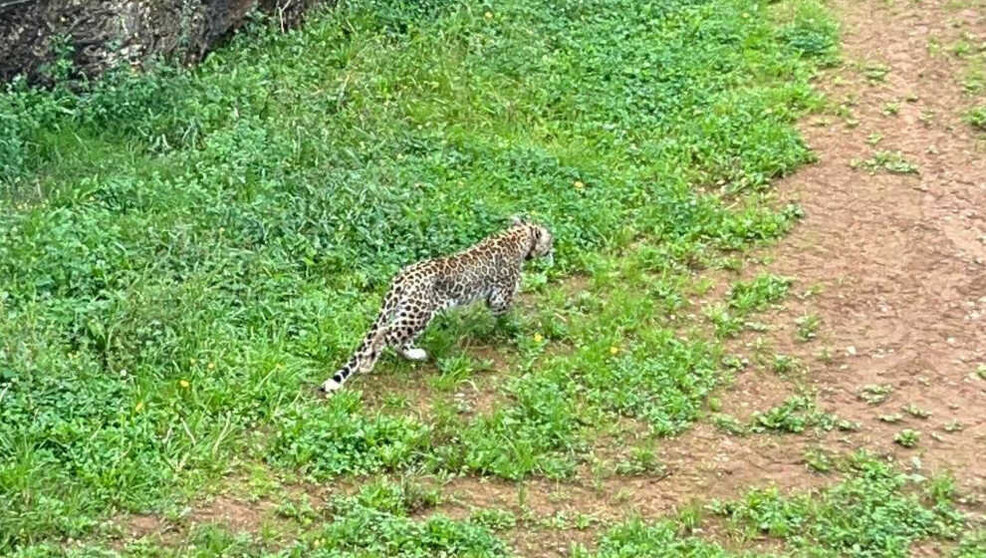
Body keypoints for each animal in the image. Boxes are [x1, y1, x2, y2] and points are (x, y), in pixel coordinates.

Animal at [320, 217, 552, 396]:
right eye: (549, 241)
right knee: (384, 334)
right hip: (418, 314)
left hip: (413, 312)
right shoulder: (500, 296)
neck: (518, 236)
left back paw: (416, 354)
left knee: (399, 340)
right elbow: (505, 313)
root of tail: (402, 277)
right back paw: (368, 364)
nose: (553, 250)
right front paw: (513, 325)